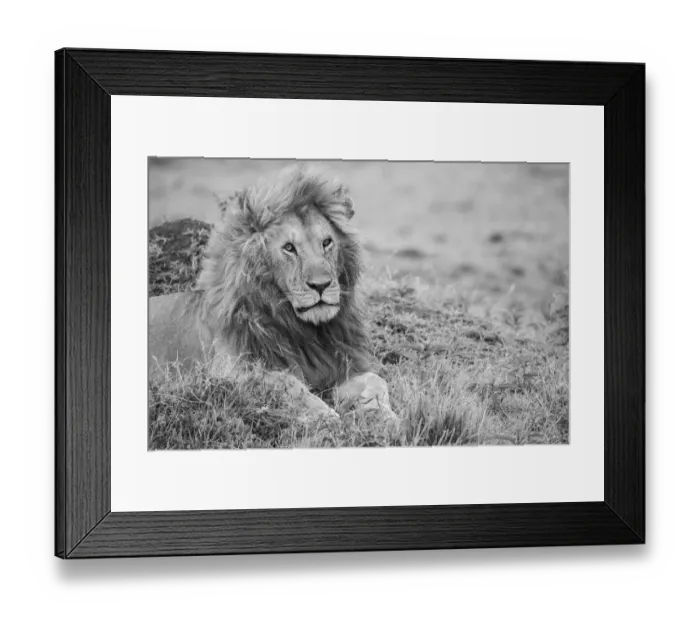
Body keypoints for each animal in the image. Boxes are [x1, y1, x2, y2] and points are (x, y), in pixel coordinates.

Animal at [148, 166, 396, 424]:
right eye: (289, 248)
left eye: (327, 242)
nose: (321, 285)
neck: (305, 332)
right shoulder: (230, 371)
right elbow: (286, 382)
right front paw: (325, 416)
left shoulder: (341, 366)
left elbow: (376, 380)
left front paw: (385, 417)